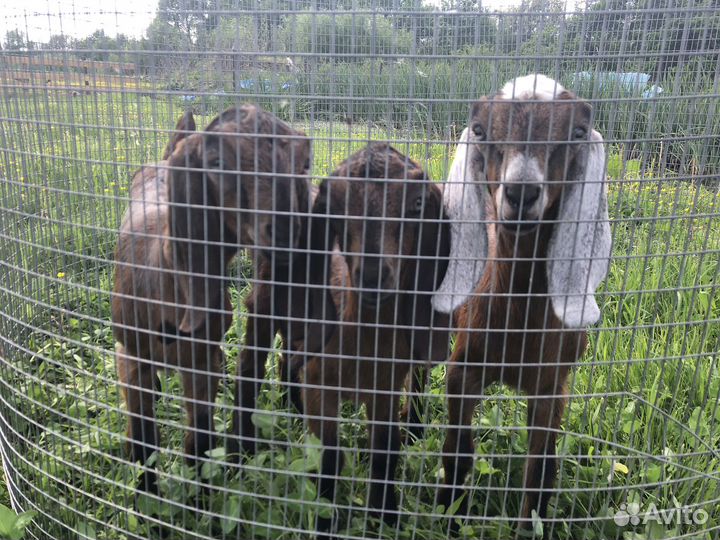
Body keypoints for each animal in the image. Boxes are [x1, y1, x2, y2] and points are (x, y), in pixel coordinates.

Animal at [112, 104, 311, 492]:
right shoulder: (133, 356)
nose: (285, 229)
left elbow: (200, 438)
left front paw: (201, 498)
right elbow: (144, 437)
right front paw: (147, 498)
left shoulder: (202, 361)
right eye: (217, 162)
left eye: (303, 163)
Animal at [293, 143, 450, 538]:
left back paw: (415, 425)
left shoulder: (385, 387)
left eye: (417, 203)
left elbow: (385, 451)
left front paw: (386, 516)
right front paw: (324, 521)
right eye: (335, 204)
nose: (374, 275)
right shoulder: (319, 382)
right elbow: (328, 457)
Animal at [432, 75, 611, 532]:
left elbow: (541, 469)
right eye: (480, 129)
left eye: (578, 131)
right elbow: (458, 453)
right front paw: (449, 517)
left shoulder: (553, 387)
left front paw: (530, 525)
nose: (521, 191)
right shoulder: (464, 369)